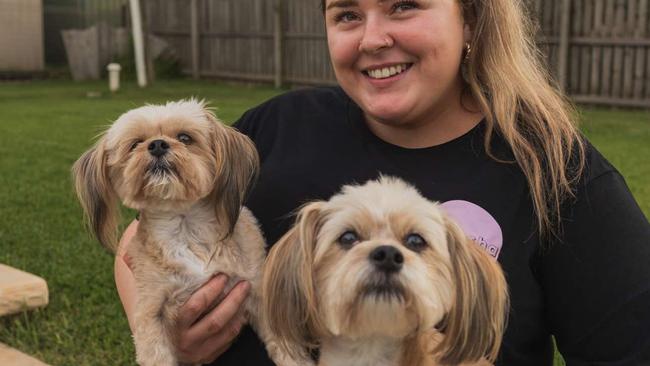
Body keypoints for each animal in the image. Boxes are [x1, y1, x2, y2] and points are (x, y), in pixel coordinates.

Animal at [74, 98, 308, 364]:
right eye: (135, 144)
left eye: (185, 137)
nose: (157, 144)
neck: (185, 229)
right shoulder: (151, 313)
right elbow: (156, 355)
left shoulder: (259, 293)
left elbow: (287, 348)